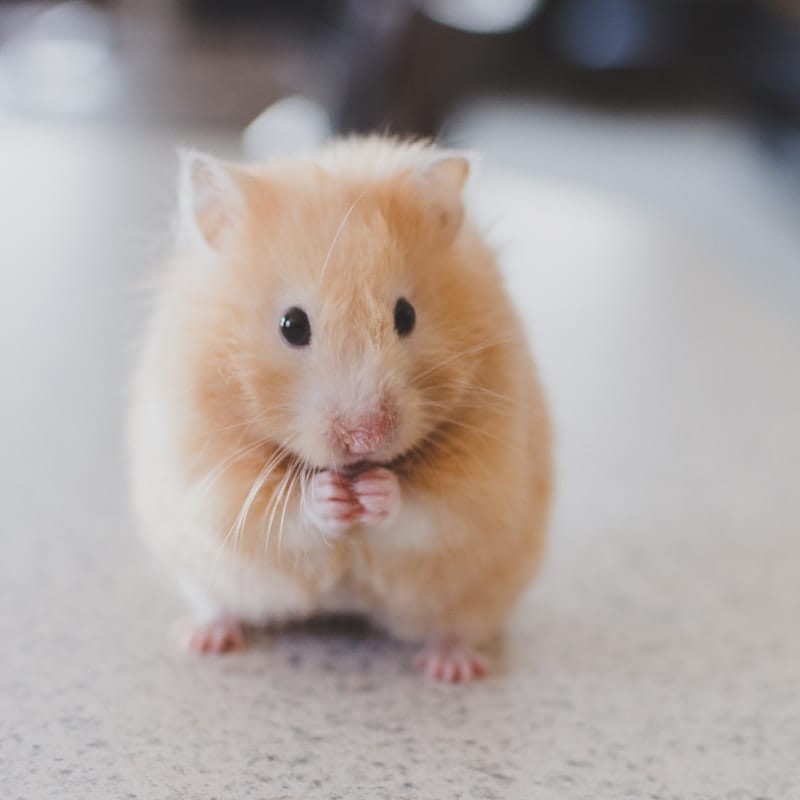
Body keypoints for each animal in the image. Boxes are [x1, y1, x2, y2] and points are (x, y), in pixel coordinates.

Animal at [128, 136, 551, 682]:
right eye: (292, 325)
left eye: (406, 315)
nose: (366, 438)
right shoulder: (209, 477)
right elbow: (280, 513)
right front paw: (330, 495)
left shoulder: (486, 479)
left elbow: (430, 511)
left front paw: (375, 492)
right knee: (220, 605)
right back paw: (202, 638)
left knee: (457, 627)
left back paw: (451, 668)